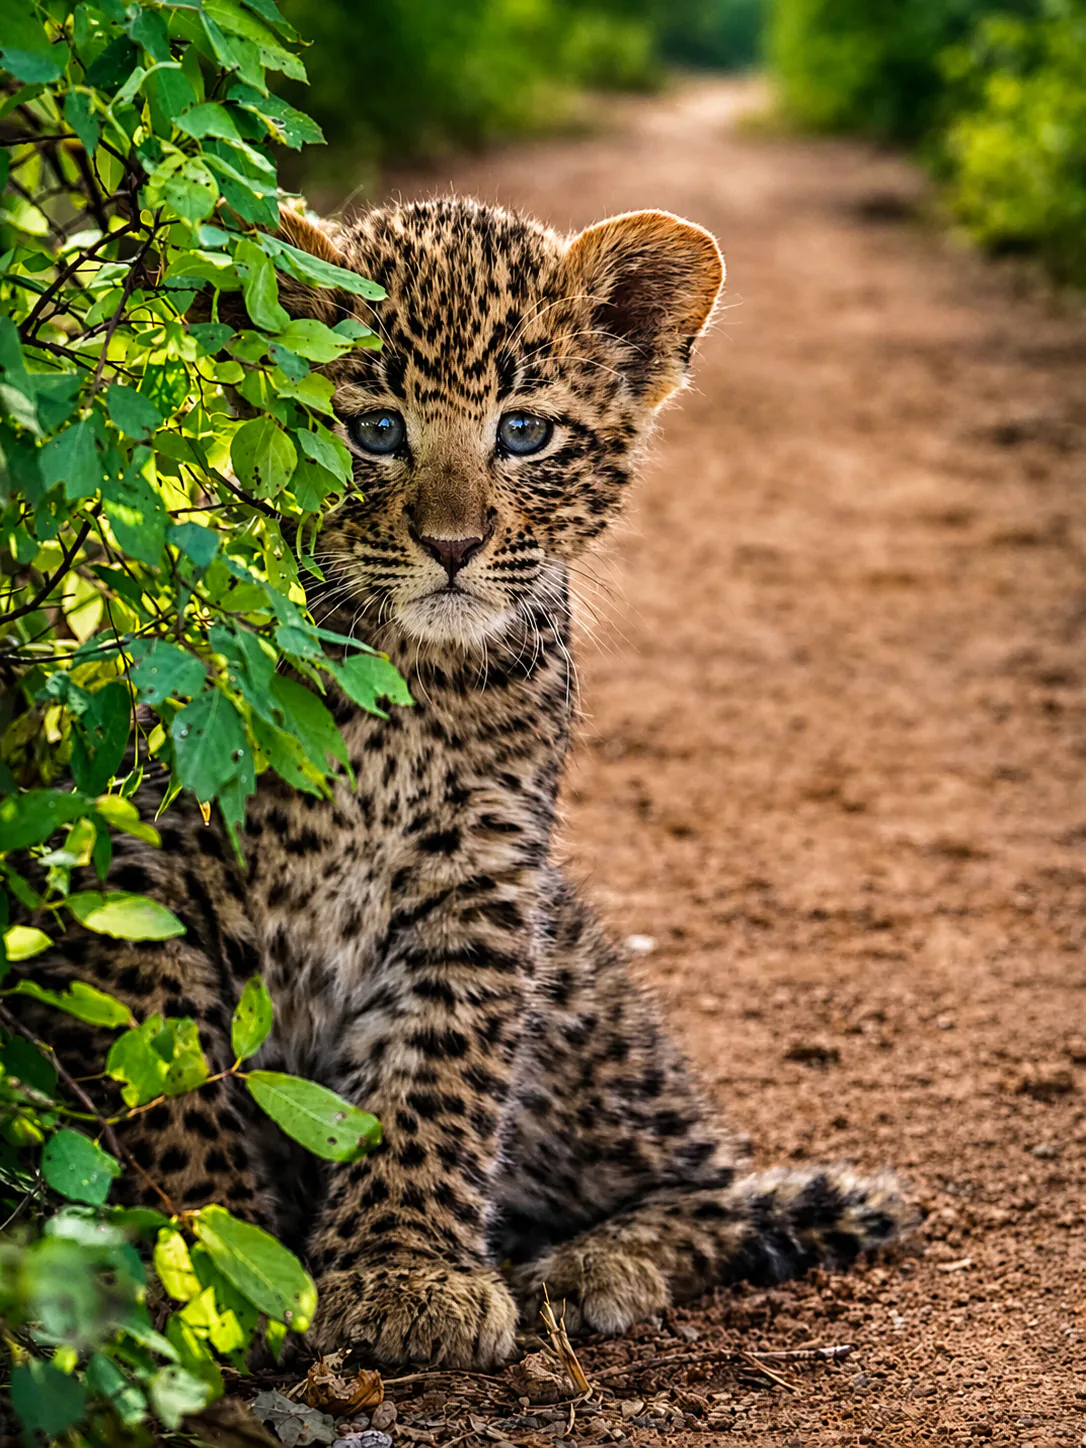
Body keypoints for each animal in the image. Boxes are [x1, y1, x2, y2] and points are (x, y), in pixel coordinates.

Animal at [19, 197, 911, 1369]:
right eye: (375, 429)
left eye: (524, 433)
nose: (452, 544)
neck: (403, 678)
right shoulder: (146, 857)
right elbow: (169, 1087)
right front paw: (212, 1260)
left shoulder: (479, 876)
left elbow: (434, 1079)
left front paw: (403, 1275)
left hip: (577, 989)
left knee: (710, 1178)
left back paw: (597, 1264)